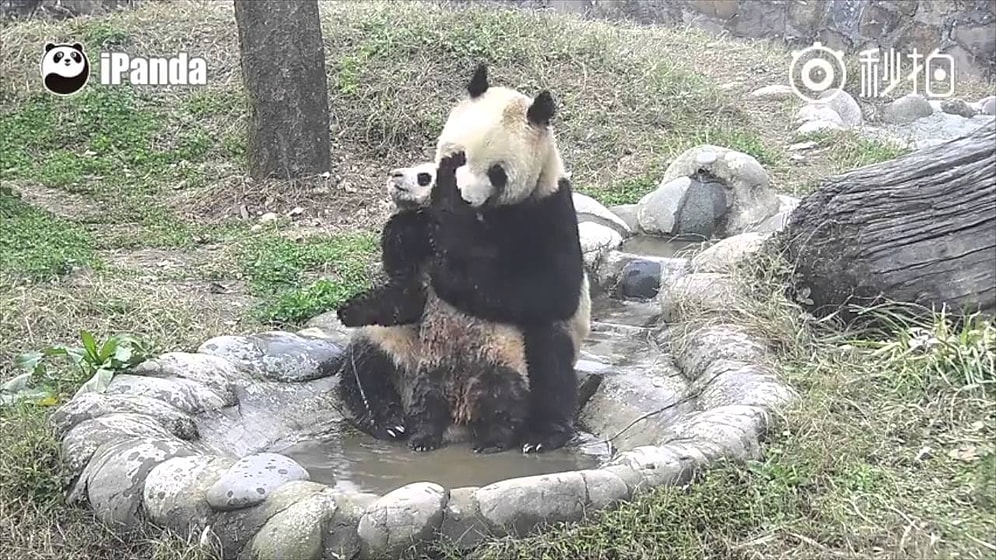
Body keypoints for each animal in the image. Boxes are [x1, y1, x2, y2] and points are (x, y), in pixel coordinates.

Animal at [334, 64, 587, 454]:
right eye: (458, 157)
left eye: (498, 173)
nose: (396, 176)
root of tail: (459, 423)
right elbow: (402, 287)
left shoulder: (548, 207)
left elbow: (551, 287)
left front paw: (451, 272)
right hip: (399, 352)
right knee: (365, 365)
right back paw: (390, 422)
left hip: (511, 362)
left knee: (548, 353)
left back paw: (538, 435)